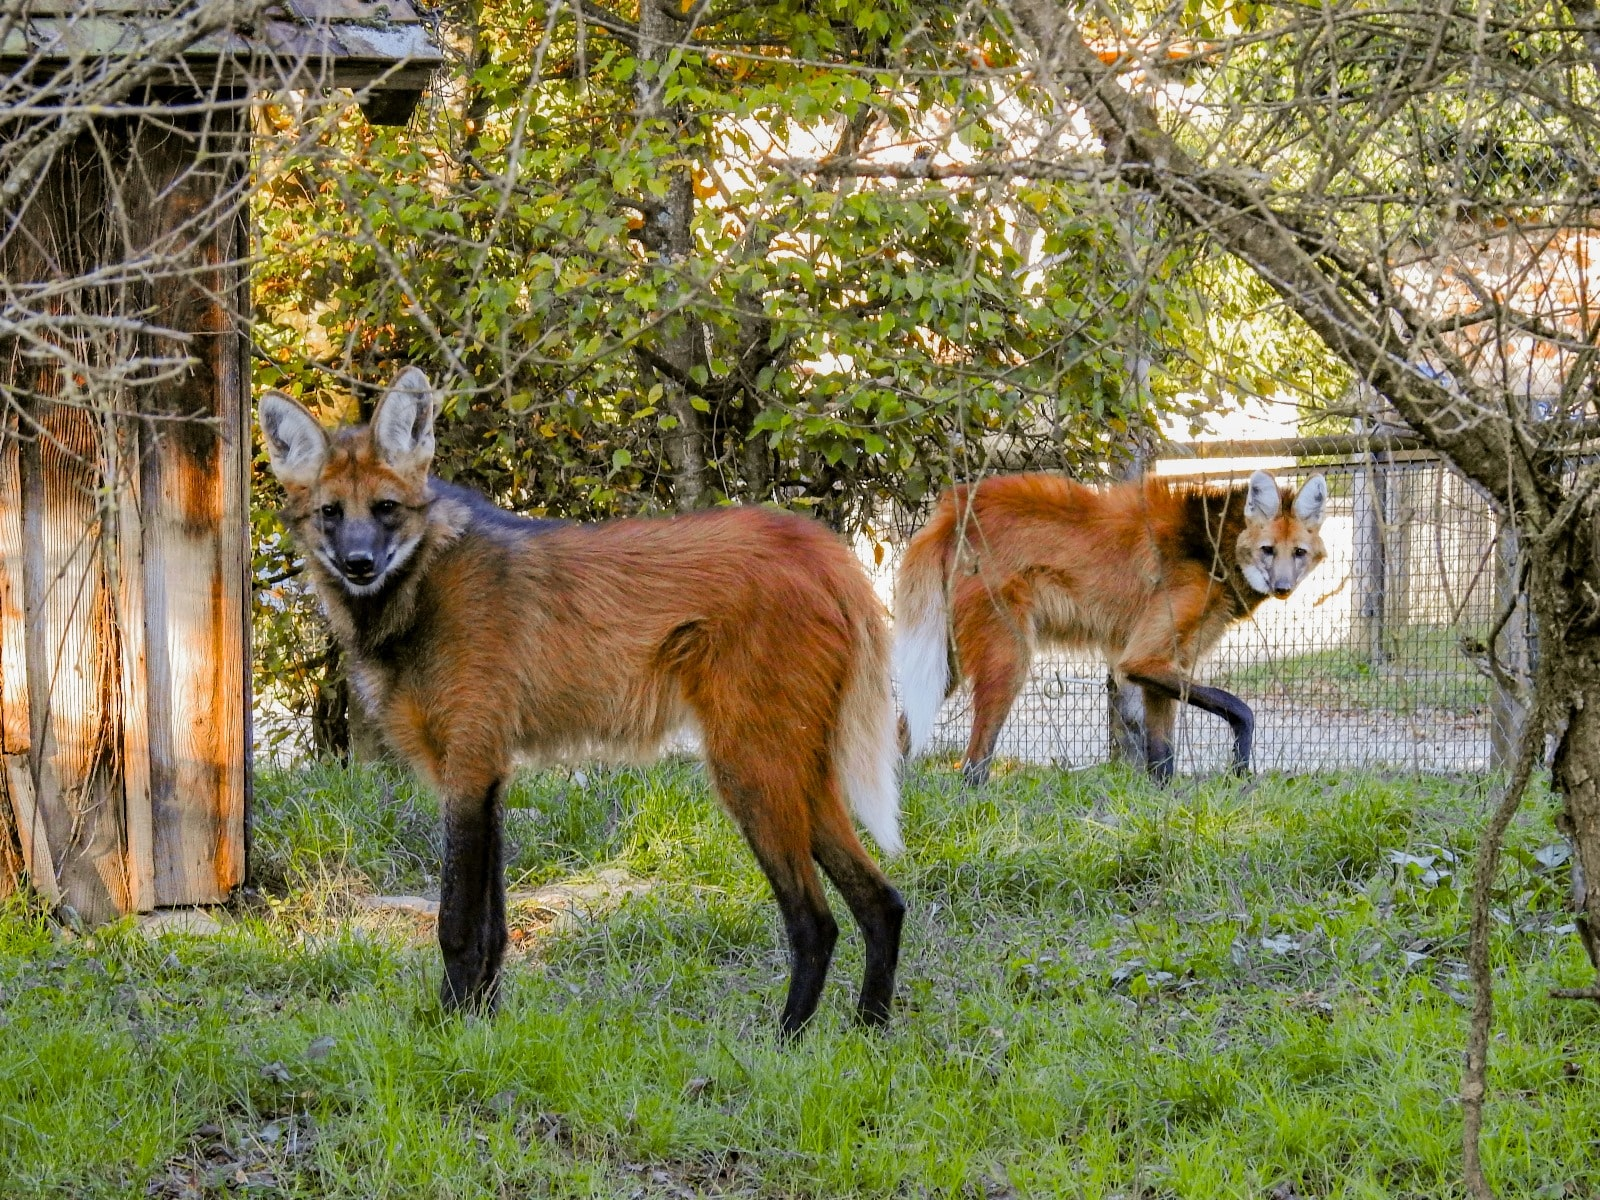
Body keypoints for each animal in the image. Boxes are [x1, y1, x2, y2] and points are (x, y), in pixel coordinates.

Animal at [257, 371, 908, 1036]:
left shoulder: (468, 764)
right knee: (883, 901)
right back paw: (867, 1033)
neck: (417, 592)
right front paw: (482, 1029)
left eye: (385, 509)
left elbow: (457, 925)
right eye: (331, 513)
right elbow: (493, 928)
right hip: (795, 766)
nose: (359, 564)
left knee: (814, 921)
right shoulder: (489, 772)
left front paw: (448, 1034)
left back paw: (784, 1042)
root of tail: (819, 544)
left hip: (748, 768)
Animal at [896, 470, 1331, 790]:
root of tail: (952, 515)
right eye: (1267, 550)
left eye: (1298, 553)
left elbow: (1162, 756)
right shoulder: (1142, 658)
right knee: (974, 762)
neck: (1208, 550)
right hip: (1007, 657)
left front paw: (1162, 807)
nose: (1283, 588)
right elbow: (1240, 706)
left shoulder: (1164, 662)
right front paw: (1240, 766)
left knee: (902, 729)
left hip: (946, 658)